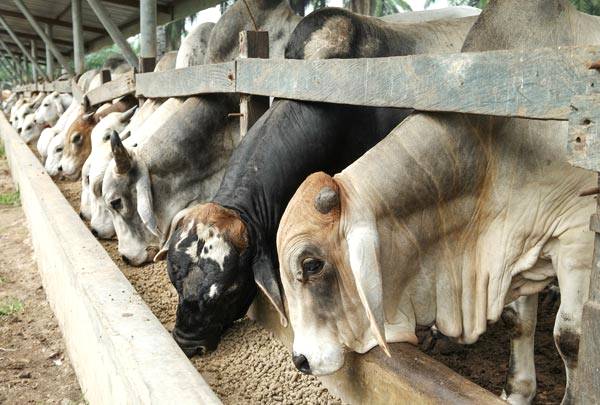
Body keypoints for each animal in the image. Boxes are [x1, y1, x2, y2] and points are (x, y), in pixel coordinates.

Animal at [276, 1, 600, 402]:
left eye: (311, 265)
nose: (300, 360)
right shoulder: (517, 241)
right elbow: (517, 321)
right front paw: (517, 391)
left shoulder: (578, 238)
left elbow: (570, 338)